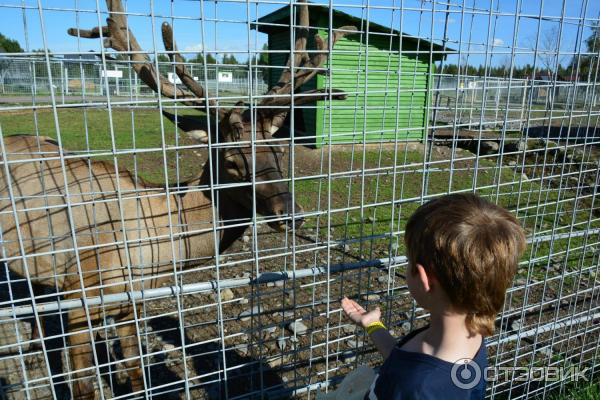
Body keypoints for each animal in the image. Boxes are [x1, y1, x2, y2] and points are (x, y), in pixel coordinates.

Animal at [0, 0, 356, 400]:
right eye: (232, 161)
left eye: (279, 151)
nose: (292, 214)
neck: (152, 247)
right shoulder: (81, 294)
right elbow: (84, 386)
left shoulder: (133, 300)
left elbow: (136, 371)